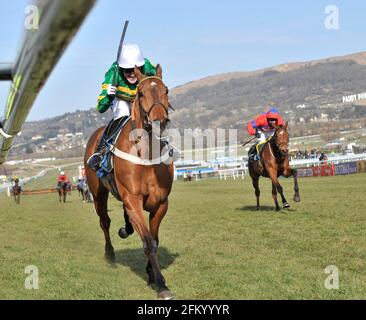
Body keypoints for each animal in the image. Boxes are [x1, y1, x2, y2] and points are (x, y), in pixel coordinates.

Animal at [84, 65, 174, 300]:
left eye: (166, 90)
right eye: (141, 93)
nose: (159, 121)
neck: (146, 154)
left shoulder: (161, 202)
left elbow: (153, 238)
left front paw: (151, 274)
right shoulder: (132, 199)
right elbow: (149, 242)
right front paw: (161, 284)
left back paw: (126, 229)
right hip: (98, 194)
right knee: (104, 222)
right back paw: (110, 253)